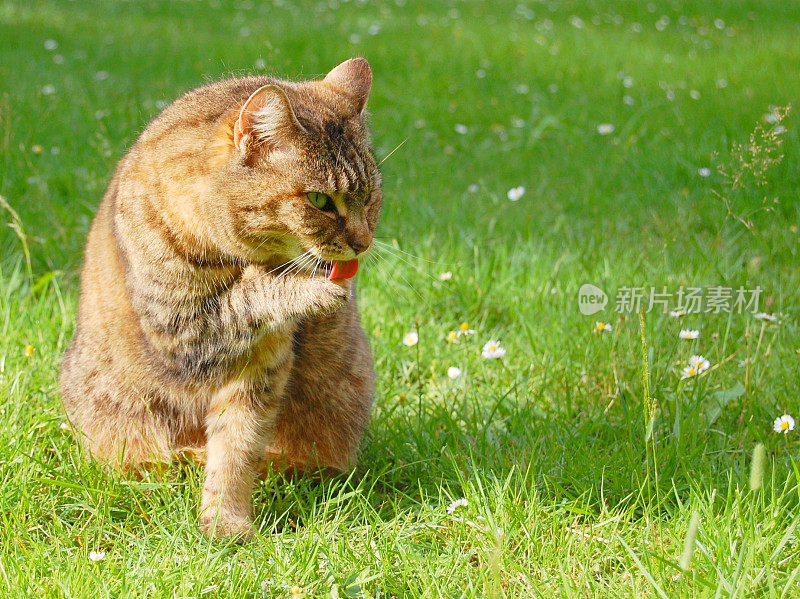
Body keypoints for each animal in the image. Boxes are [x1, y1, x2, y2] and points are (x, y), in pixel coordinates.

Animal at [59, 59, 382, 540]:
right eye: (320, 200)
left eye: (371, 196)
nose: (362, 243)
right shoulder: (182, 330)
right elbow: (254, 295)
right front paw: (309, 288)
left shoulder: (262, 364)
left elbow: (237, 444)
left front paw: (226, 521)